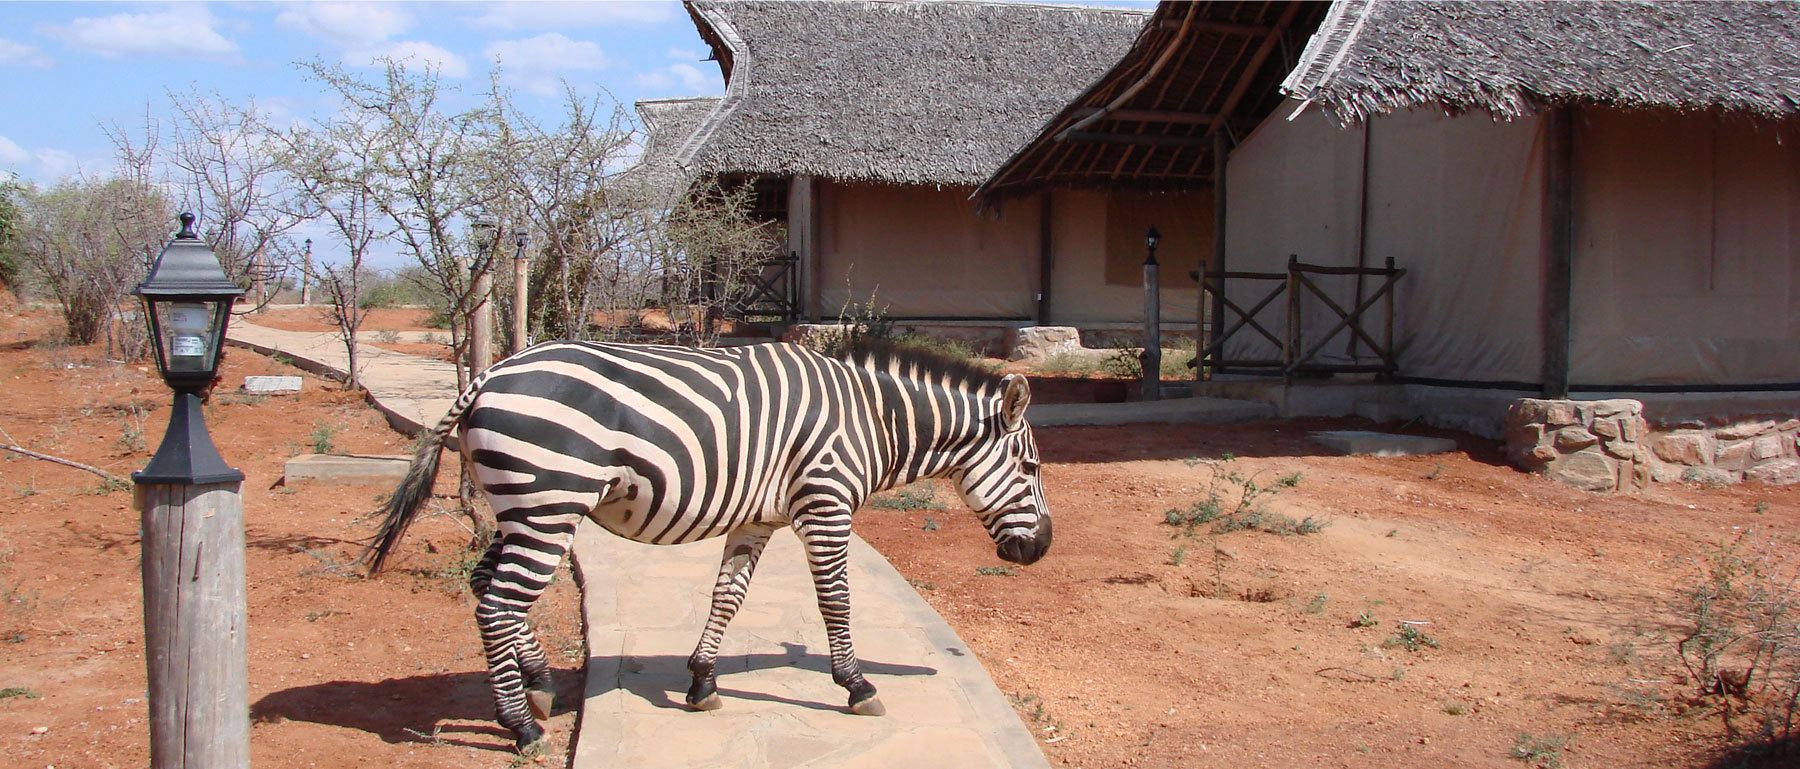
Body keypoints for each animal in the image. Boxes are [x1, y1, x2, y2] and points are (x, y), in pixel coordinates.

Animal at [363, 338, 1053, 754]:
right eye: (1029, 469)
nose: (1042, 550)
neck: (871, 421)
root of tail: (486, 375)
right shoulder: (825, 503)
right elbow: (835, 602)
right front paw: (857, 686)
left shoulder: (758, 519)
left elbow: (728, 597)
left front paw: (701, 682)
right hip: (548, 504)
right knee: (498, 604)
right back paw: (523, 726)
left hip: (523, 507)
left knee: (486, 588)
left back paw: (538, 686)